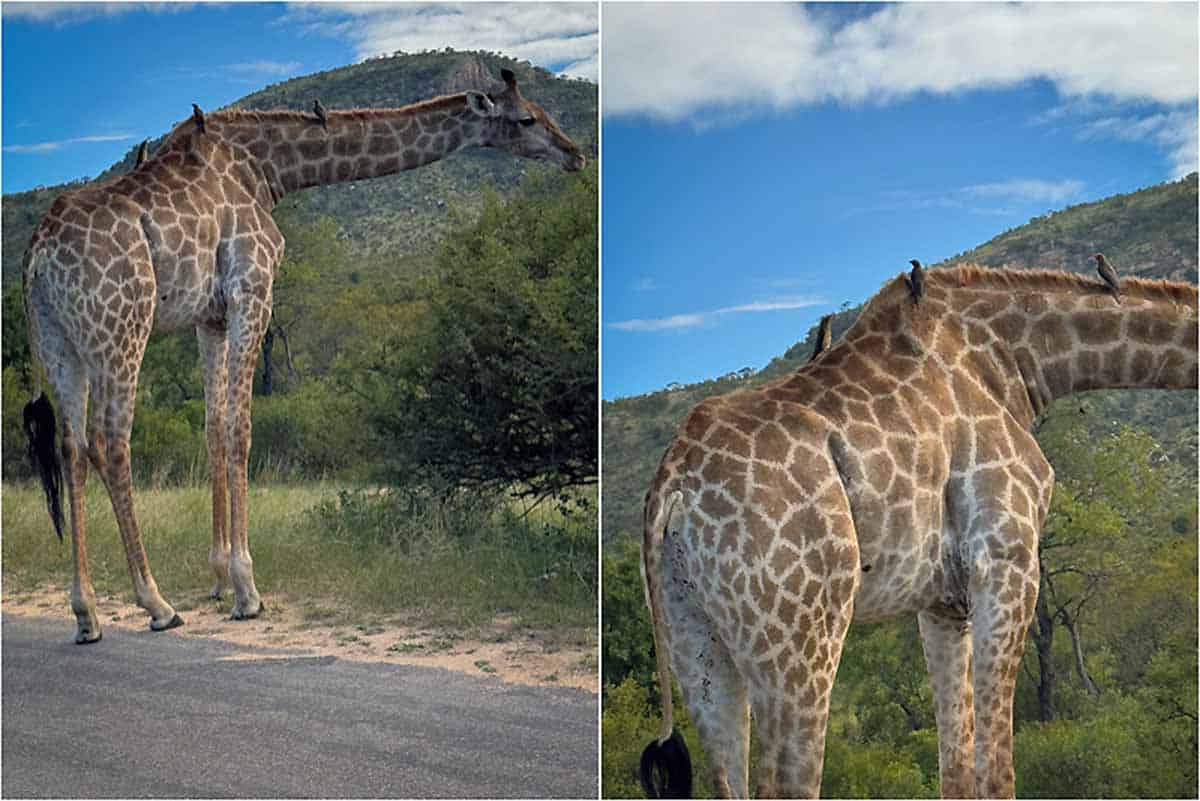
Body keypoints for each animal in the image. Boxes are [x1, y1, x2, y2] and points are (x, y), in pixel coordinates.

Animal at [18, 68, 580, 642]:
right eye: (527, 118)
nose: (576, 154)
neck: (267, 168)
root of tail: (38, 257)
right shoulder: (253, 288)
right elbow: (241, 429)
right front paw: (246, 588)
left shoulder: (209, 316)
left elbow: (214, 427)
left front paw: (218, 577)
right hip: (120, 329)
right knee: (110, 442)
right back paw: (157, 603)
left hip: (60, 343)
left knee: (70, 447)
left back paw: (86, 613)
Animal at [643, 262, 1195, 796]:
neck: (1017, 362)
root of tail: (673, 491)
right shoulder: (1008, 561)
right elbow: (996, 768)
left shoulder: (942, 601)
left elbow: (956, 768)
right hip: (801, 631)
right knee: (784, 780)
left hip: (693, 634)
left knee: (725, 773)